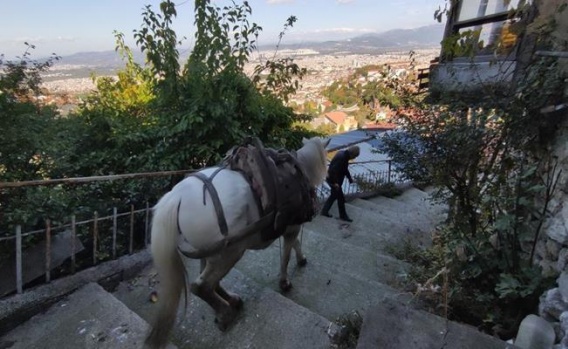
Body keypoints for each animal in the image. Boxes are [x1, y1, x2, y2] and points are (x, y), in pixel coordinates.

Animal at [146, 137, 330, 348]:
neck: (300, 169)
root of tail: (176, 197)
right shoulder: (292, 228)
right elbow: (286, 256)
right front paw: (285, 281)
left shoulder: (291, 228)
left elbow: (294, 247)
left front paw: (301, 259)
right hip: (230, 252)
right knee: (201, 286)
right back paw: (225, 314)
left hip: (211, 252)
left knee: (210, 281)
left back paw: (232, 301)